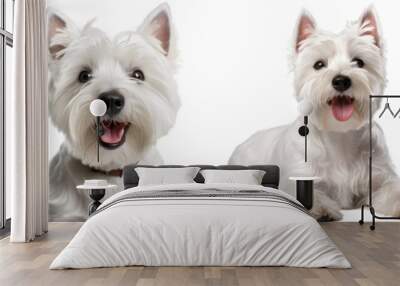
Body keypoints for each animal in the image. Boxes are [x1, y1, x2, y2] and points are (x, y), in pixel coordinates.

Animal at [228, 7, 400, 221]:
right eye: (318, 65)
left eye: (359, 62)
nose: (341, 81)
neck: (340, 137)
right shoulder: (299, 174)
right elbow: (307, 192)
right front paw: (322, 208)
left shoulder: (379, 176)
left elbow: (391, 189)